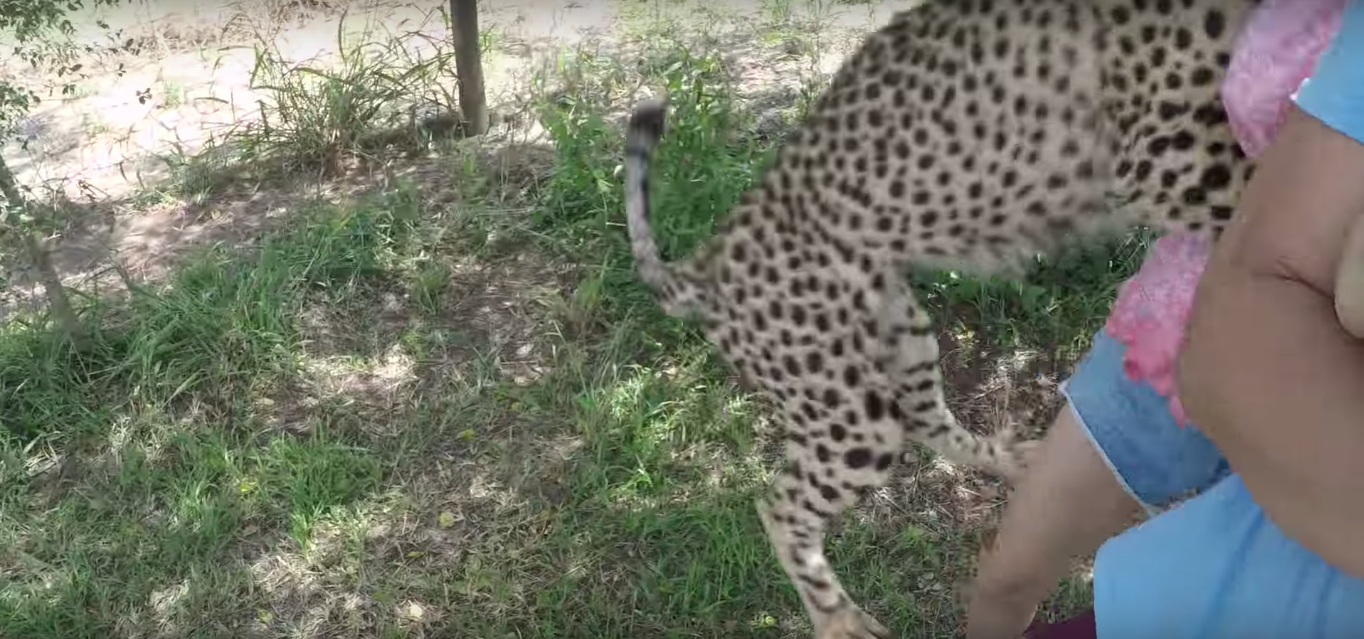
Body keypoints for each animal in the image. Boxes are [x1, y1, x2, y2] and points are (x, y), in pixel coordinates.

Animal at [619, 2, 1254, 636]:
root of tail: (710, 260)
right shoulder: (1169, 163)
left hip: (903, 335)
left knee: (926, 420)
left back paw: (1004, 459)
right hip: (849, 412)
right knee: (781, 506)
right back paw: (837, 618)